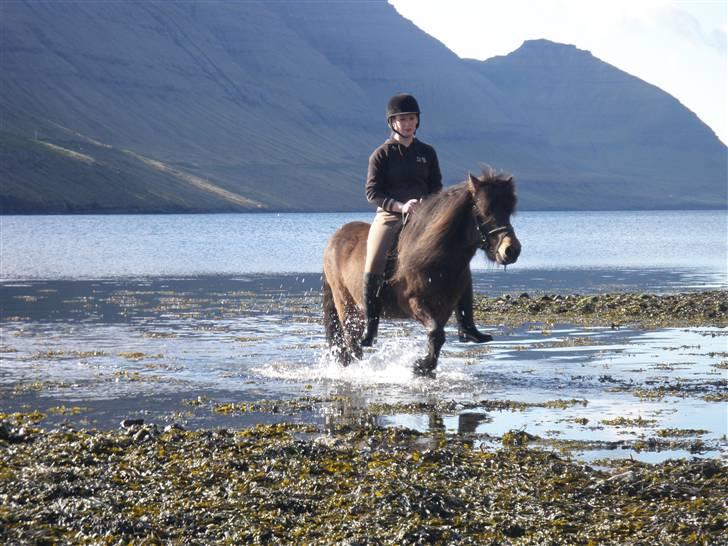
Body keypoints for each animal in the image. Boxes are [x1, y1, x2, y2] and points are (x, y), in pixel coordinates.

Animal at [322, 168, 520, 374]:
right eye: (485, 211)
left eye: (509, 211)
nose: (511, 250)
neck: (436, 258)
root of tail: (335, 237)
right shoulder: (413, 302)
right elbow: (436, 333)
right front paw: (421, 366)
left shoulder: (444, 308)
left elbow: (437, 338)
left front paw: (425, 368)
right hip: (346, 306)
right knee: (352, 343)